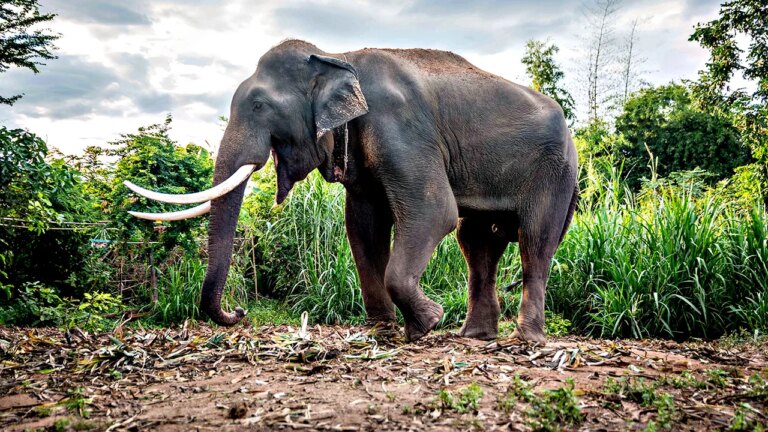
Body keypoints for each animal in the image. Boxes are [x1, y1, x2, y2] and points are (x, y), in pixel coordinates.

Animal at [125, 39, 579, 343]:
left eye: (258, 106)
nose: (238, 312)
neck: (338, 57)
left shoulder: (400, 126)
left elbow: (434, 212)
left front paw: (427, 324)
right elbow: (363, 228)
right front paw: (382, 329)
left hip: (556, 171)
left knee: (534, 241)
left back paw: (526, 339)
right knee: (477, 242)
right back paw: (475, 337)